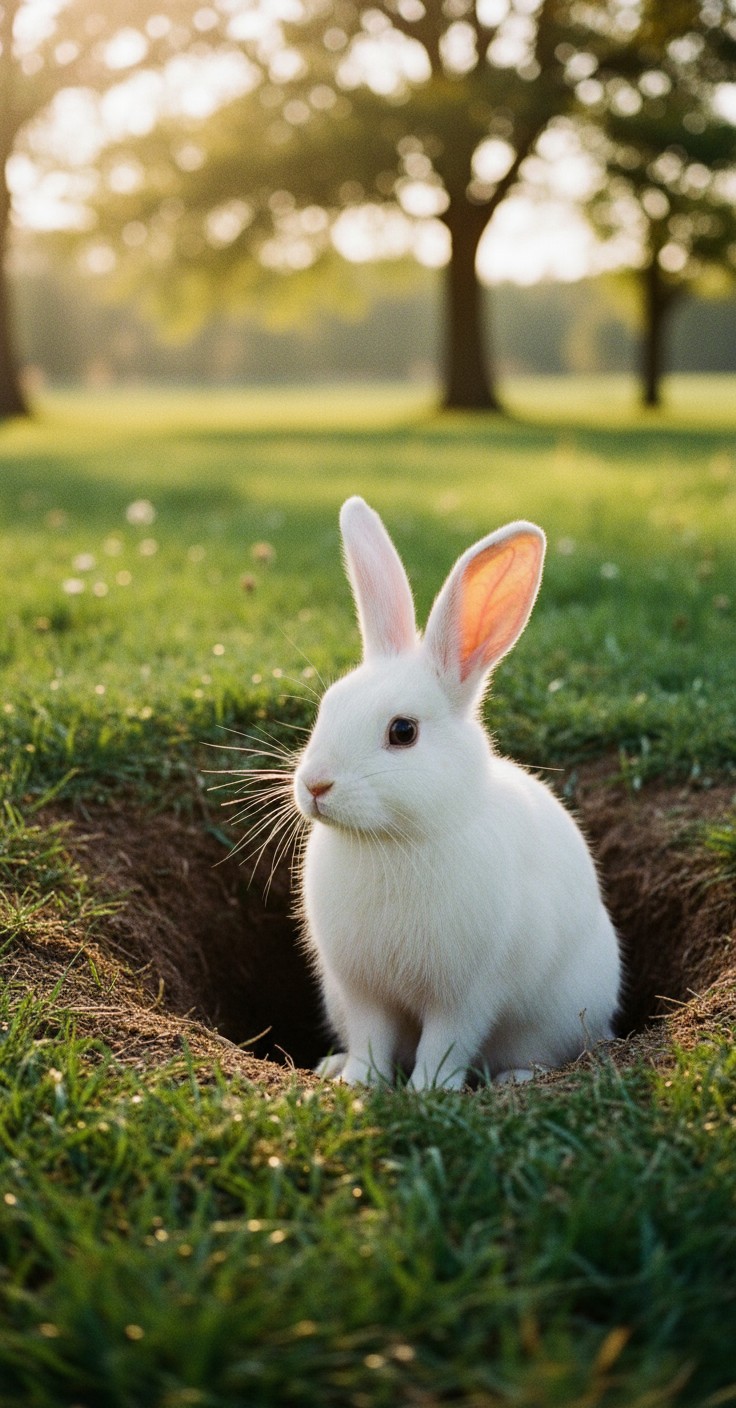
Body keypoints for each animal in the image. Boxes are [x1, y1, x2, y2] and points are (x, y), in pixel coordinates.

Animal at [292, 496, 621, 1090]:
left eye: (403, 731)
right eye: (328, 706)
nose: (315, 785)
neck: (394, 840)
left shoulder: (467, 995)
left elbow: (445, 1045)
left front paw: (426, 1092)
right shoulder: (364, 991)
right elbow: (373, 1040)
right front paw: (357, 1083)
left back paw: (517, 1079)